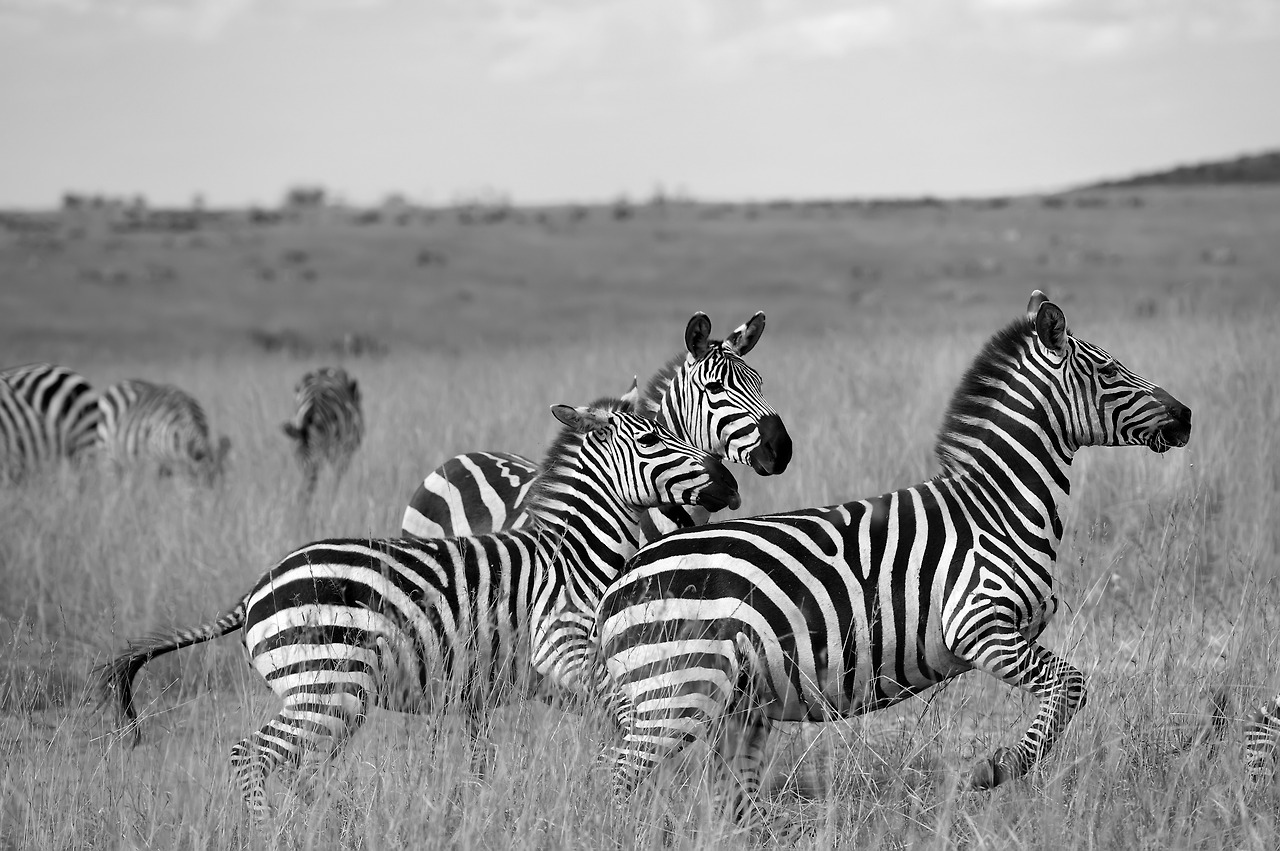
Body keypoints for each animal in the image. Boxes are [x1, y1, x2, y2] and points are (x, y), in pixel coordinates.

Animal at [96, 397, 742, 820]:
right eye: (655, 440)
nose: (730, 486)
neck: (574, 553)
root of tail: (257, 586)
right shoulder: (559, 646)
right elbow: (630, 716)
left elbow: (621, 722)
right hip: (327, 690)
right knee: (250, 756)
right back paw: (271, 830)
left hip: (322, 696)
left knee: (286, 764)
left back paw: (323, 821)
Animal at [281, 366, 364, 500]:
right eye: (298, 464)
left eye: (315, 462)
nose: (303, 497)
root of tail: (327, 369)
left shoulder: (341, 452)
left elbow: (334, 480)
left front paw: (332, 500)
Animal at [596, 290, 1193, 827]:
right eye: (1110, 371)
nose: (1186, 415)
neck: (997, 506)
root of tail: (621, 580)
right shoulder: (978, 626)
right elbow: (1071, 686)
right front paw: (995, 768)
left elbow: (1067, 688)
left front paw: (999, 766)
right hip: (673, 697)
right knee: (614, 784)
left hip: (735, 703)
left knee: (728, 801)